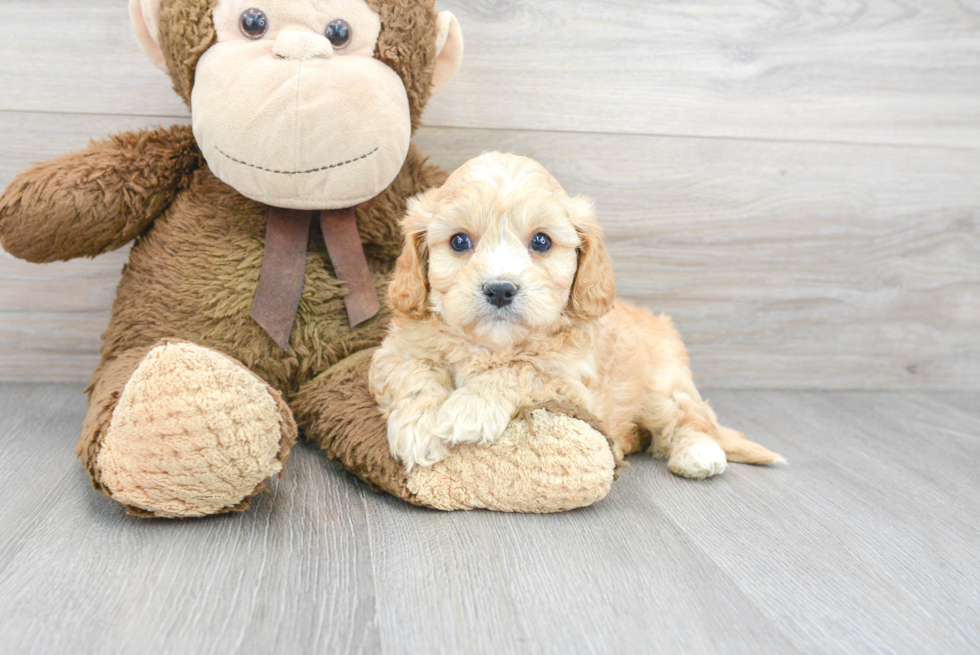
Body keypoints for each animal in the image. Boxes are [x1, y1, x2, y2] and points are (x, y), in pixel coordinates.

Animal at [368, 152, 780, 476]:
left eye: (541, 241)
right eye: (458, 241)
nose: (500, 289)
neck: (493, 345)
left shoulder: (572, 385)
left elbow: (522, 369)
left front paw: (471, 408)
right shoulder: (395, 354)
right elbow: (416, 373)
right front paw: (419, 428)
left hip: (662, 385)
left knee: (690, 417)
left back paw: (699, 453)